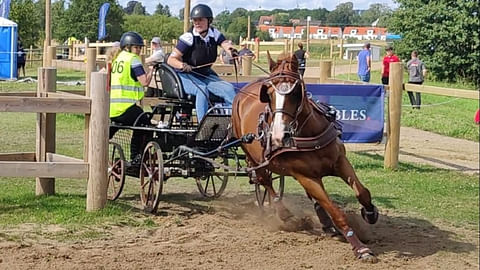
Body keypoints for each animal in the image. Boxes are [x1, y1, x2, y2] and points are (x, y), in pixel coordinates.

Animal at [232, 52, 378, 264]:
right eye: (268, 94)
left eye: (295, 93)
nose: (279, 136)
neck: (309, 134)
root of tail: (242, 92)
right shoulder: (305, 176)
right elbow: (335, 211)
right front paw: (360, 248)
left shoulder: (340, 161)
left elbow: (362, 192)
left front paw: (370, 212)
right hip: (254, 158)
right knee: (265, 181)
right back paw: (286, 215)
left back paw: (326, 224)